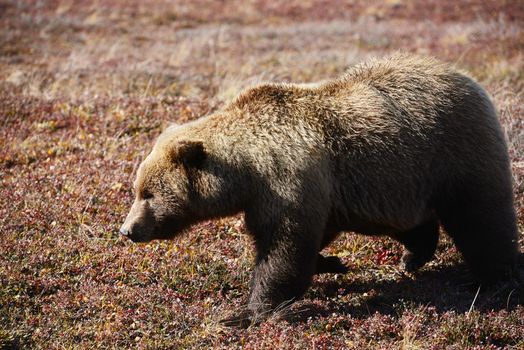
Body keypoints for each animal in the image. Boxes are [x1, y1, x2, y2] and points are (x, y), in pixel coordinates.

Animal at [119, 54, 520, 326]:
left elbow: (284, 250)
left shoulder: (287, 182)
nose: (127, 229)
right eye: (137, 189)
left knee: (481, 218)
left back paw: (493, 279)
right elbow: (302, 239)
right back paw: (413, 256)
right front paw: (333, 264)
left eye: (147, 194)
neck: (247, 169)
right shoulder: (285, 197)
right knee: (409, 221)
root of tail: (467, 79)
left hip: (454, 153)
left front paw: (244, 312)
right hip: (399, 180)